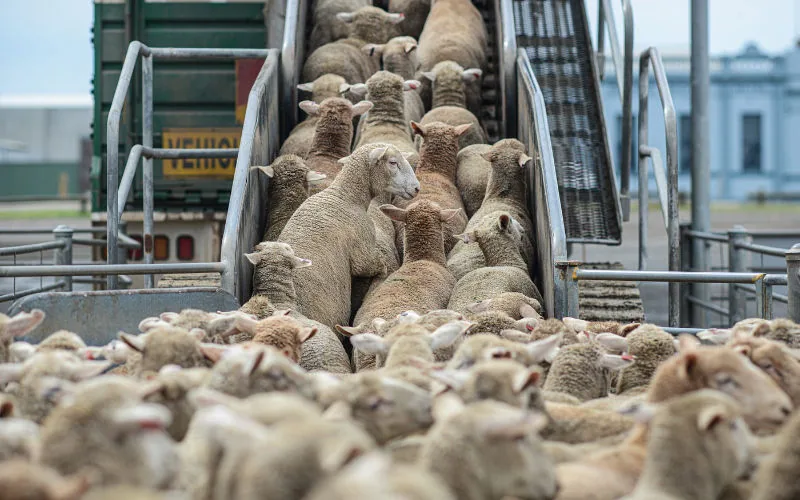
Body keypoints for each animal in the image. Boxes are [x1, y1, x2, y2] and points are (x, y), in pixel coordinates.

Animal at [277, 143, 419, 330]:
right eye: (393, 162)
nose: (417, 188)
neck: (345, 196)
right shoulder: (362, 246)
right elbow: (368, 265)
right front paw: (383, 269)